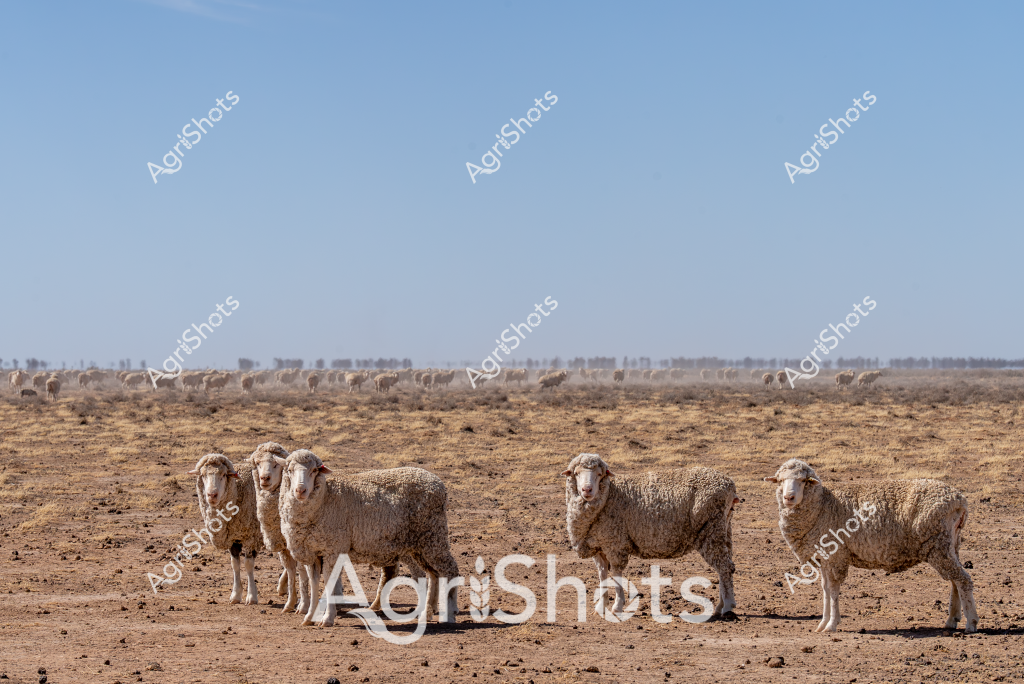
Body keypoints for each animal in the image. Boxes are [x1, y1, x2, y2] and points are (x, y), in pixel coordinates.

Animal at [188, 453, 265, 605]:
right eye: (203, 475)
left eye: (223, 475)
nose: (212, 495)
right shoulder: (233, 537)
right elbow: (235, 564)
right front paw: (235, 595)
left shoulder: (253, 537)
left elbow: (248, 564)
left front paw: (252, 596)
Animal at [278, 449, 460, 627]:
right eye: (289, 470)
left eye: (314, 470)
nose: (300, 491)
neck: (325, 496)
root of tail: (437, 483)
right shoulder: (312, 551)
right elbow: (314, 583)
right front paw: (310, 617)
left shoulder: (333, 549)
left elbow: (329, 582)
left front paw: (327, 618)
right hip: (422, 545)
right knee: (434, 575)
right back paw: (426, 614)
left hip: (434, 536)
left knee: (450, 571)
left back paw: (450, 615)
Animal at [562, 453, 738, 619]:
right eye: (576, 473)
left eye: (599, 474)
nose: (587, 490)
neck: (609, 495)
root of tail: (729, 485)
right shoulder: (598, 545)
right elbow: (602, 574)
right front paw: (600, 607)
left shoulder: (615, 542)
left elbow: (616, 575)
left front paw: (617, 606)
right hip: (724, 528)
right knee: (726, 567)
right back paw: (720, 606)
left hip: (711, 528)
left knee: (724, 567)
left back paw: (727, 606)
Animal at [764, 458, 977, 633]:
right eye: (781, 481)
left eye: (803, 481)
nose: (789, 498)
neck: (823, 505)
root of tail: (959, 500)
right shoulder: (824, 557)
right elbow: (825, 589)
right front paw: (823, 623)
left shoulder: (836, 555)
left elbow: (833, 590)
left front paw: (832, 624)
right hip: (950, 545)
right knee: (955, 580)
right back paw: (951, 620)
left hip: (938, 544)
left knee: (963, 580)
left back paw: (971, 623)